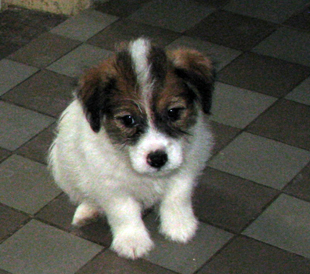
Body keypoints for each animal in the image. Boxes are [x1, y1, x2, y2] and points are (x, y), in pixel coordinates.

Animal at [49, 37, 216, 260]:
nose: (157, 159)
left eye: (173, 112)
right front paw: (132, 241)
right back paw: (89, 210)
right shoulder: (111, 186)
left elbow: (177, 195)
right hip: (63, 167)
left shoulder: (188, 164)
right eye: (128, 119)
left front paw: (179, 225)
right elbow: (124, 211)